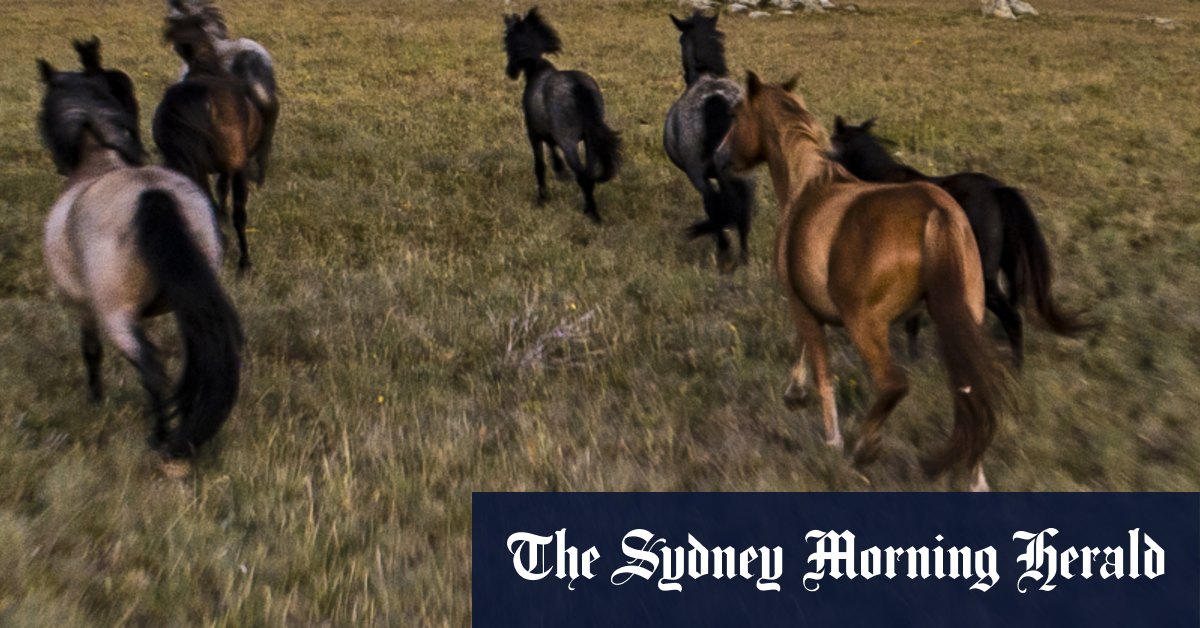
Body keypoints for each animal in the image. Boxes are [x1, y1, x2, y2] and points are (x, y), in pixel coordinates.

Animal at [37, 41, 243, 458]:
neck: (97, 161)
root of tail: (153, 194)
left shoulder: (84, 306)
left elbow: (91, 351)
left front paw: (95, 399)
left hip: (118, 316)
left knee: (153, 368)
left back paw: (161, 438)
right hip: (193, 302)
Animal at [503, 7, 622, 223]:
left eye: (507, 41)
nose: (510, 72)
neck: (538, 70)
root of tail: (577, 86)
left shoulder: (533, 133)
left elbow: (540, 165)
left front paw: (542, 199)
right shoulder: (549, 131)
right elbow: (551, 146)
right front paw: (560, 170)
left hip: (570, 142)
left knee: (583, 176)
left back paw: (594, 215)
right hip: (590, 141)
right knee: (589, 173)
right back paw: (588, 207)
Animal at [664, 12, 755, 269]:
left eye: (680, 39)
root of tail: (716, 99)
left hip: (697, 173)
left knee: (714, 203)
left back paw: (724, 252)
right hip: (742, 172)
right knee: (743, 208)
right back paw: (744, 259)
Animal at [717, 72, 1008, 491]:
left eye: (737, 114)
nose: (720, 157)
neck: (810, 186)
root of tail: (937, 214)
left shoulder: (800, 304)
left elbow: (820, 367)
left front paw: (829, 435)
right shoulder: (808, 303)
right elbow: (802, 346)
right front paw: (794, 394)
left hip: (866, 325)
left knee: (893, 384)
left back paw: (863, 447)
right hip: (964, 321)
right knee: (972, 394)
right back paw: (974, 477)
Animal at [830, 117, 1085, 368]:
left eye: (833, 141)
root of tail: (998, 190)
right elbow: (913, 321)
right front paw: (914, 361)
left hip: (985, 277)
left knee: (1012, 318)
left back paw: (1016, 368)